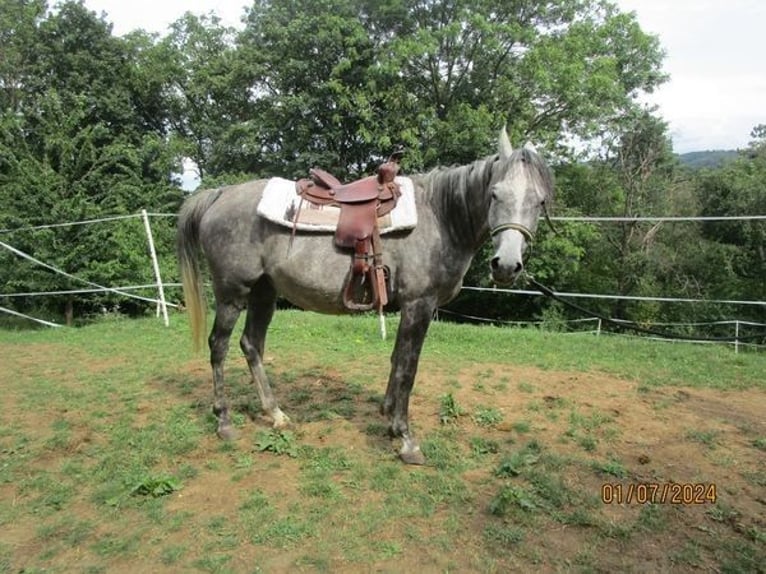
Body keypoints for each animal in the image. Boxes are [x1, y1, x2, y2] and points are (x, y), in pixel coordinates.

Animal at [177, 127, 554, 464]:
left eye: (539, 201)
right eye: (495, 194)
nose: (506, 265)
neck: (440, 218)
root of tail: (219, 195)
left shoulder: (409, 308)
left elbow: (396, 359)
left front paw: (387, 415)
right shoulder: (419, 305)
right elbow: (408, 368)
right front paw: (406, 439)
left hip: (263, 292)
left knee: (251, 344)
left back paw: (276, 414)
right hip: (232, 292)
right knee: (219, 346)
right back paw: (224, 421)